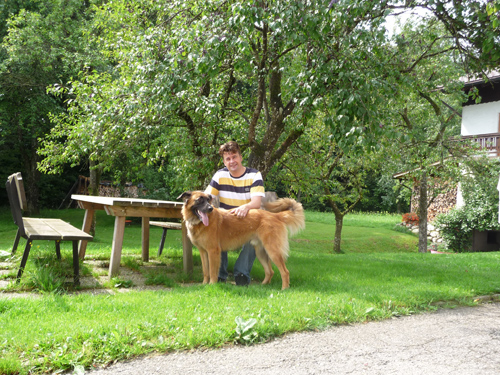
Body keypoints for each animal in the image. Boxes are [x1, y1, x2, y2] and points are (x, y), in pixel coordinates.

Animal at [178, 191, 306, 290]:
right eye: (199, 200)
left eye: (208, 200)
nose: (210, 209)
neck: (198, 223)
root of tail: (275, 216)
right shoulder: (203, 252)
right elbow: (206, 270)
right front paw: (204, 284)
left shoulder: (213, 251)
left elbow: (213, 271)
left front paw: (212, 285)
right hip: (261, 252)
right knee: (270, 271)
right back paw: (262, 286)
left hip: (273, 251)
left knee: (285, 272)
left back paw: (284, 289)